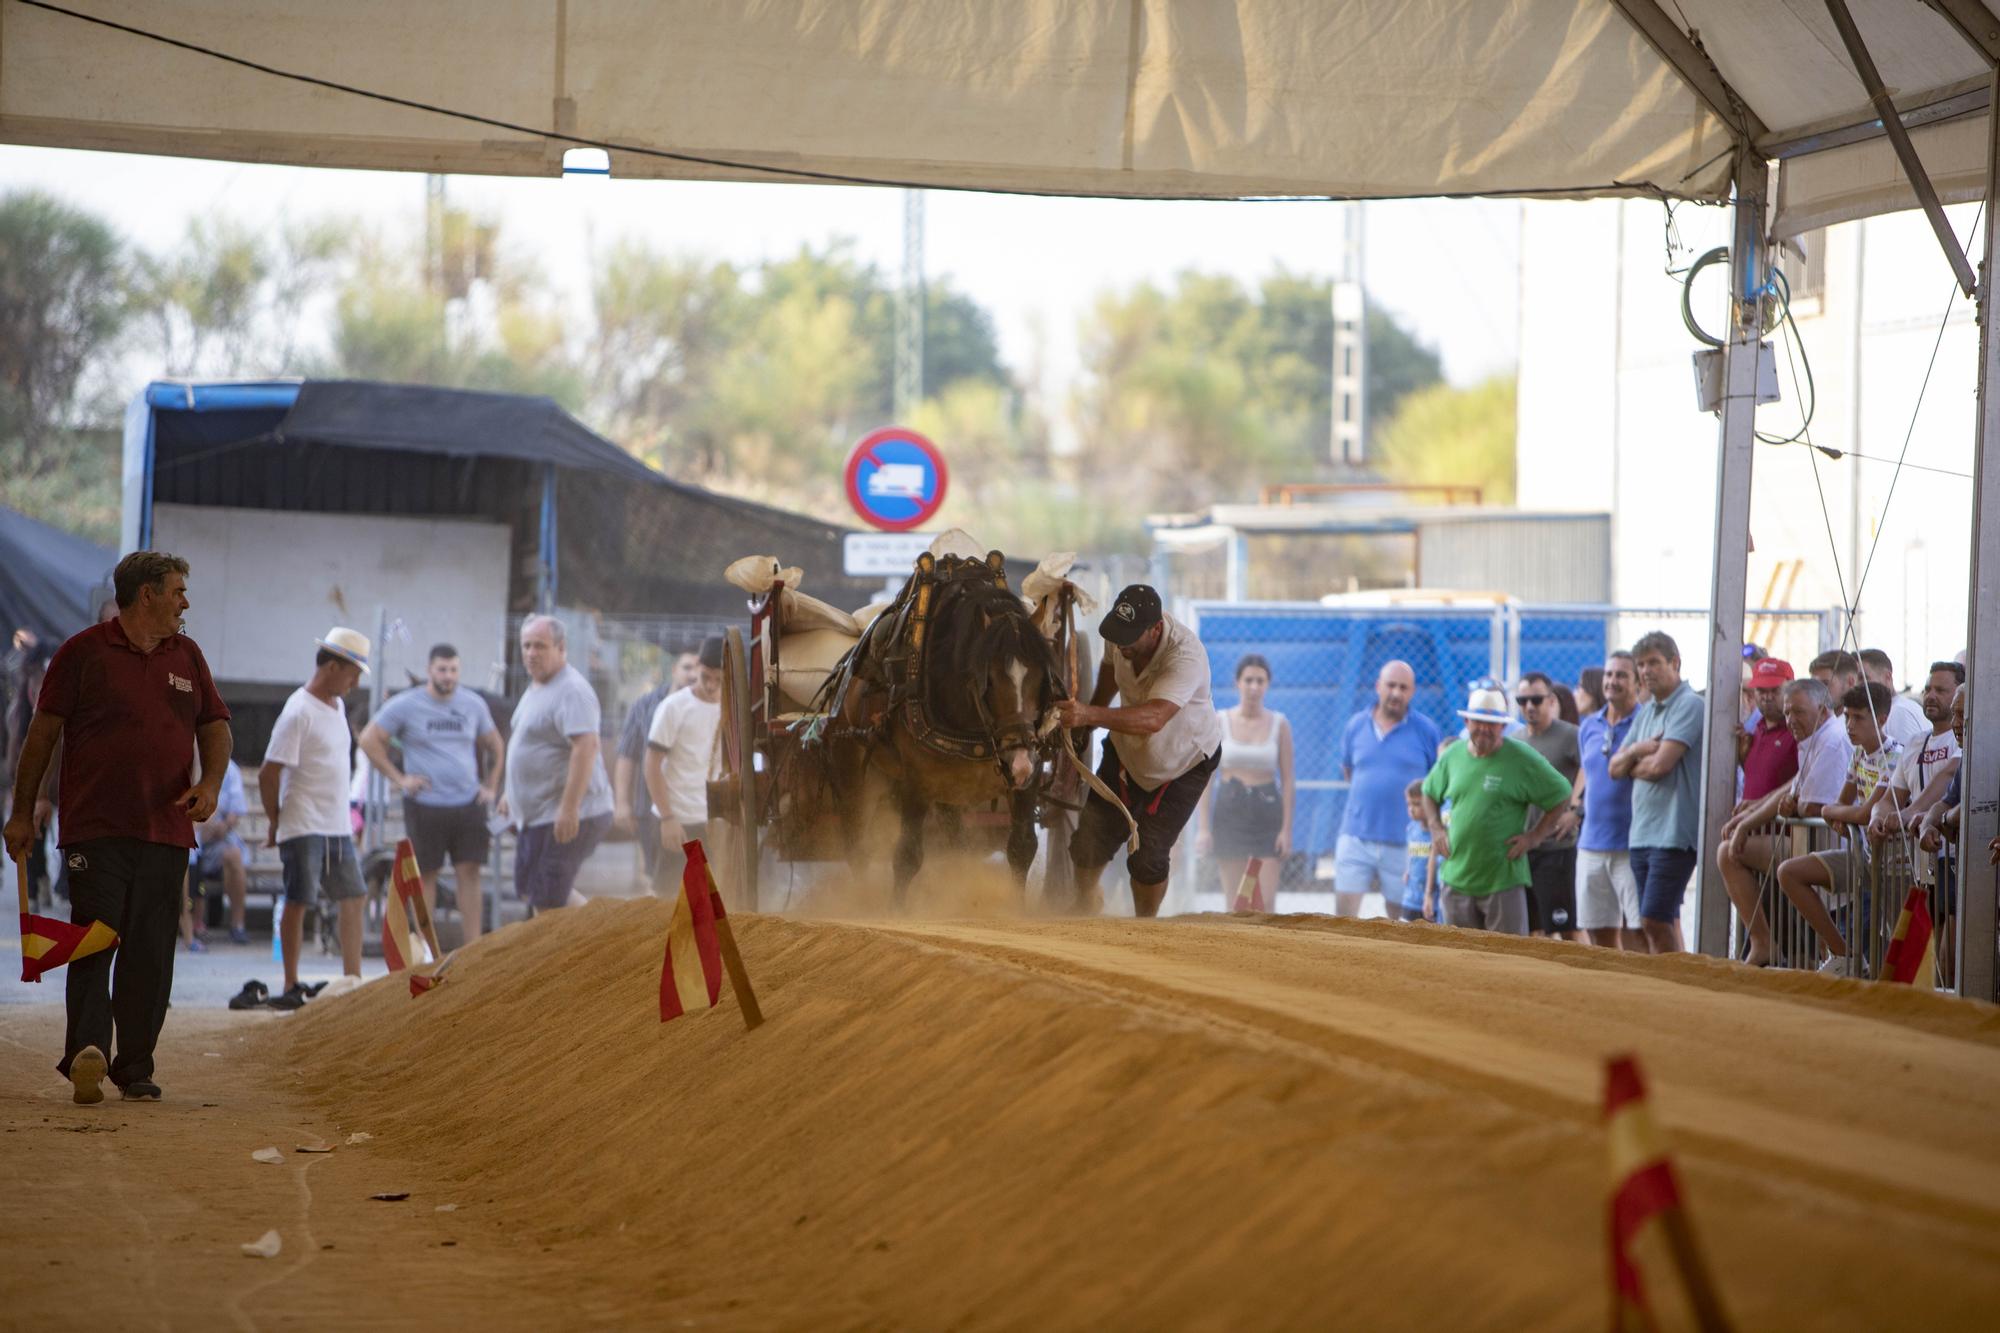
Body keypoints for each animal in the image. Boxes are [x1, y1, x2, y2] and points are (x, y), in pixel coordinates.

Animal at [824, 564, 1064, 908]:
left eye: (1042, 677)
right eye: (989, 679)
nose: (1019, 761)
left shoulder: (1026, 781)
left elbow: (1021, 847)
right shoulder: (916, 783)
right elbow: (907, 856)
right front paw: (896, 910)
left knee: (956, 843)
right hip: (852, 775)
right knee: (857, 846)